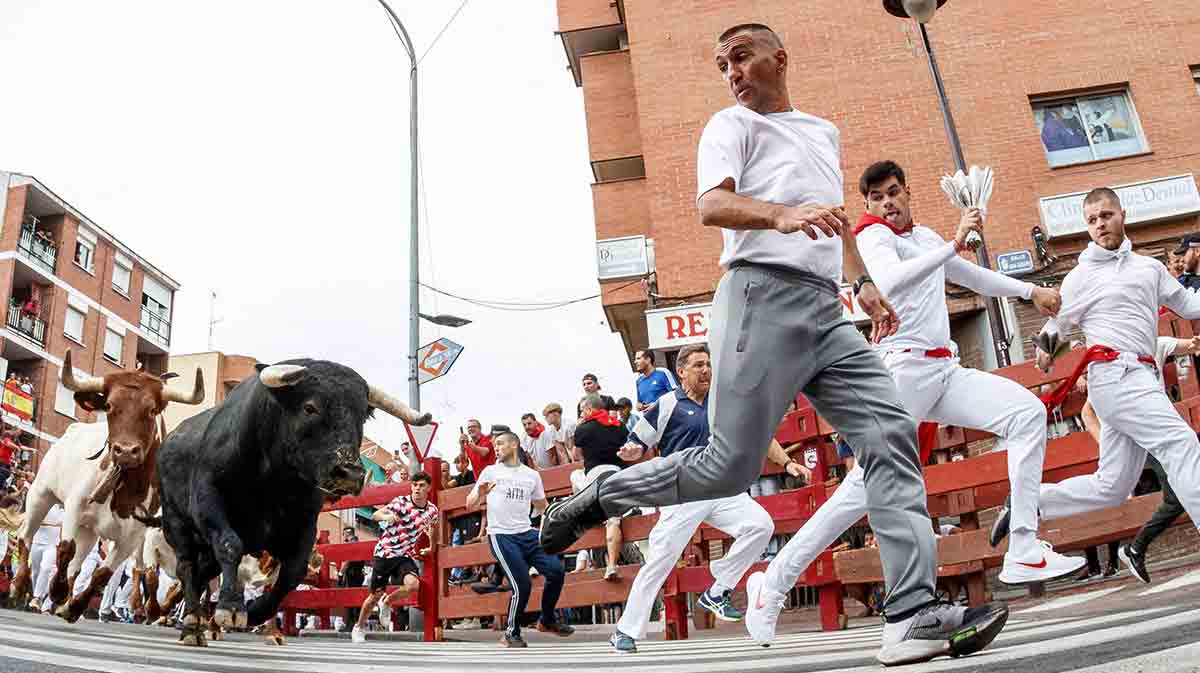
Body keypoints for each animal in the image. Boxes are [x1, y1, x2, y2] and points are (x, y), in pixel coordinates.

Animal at [152, 359, 429, 643]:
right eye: (310, 407)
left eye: (362, 415)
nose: (350, 473)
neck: (273, 478)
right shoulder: (208, 502)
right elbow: (230, 545)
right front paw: (230, 607)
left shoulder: (304, 523)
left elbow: (293, 572)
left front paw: (255, 611)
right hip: (177, 525)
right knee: (187, 567)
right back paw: (191, 622)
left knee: (201, 572)